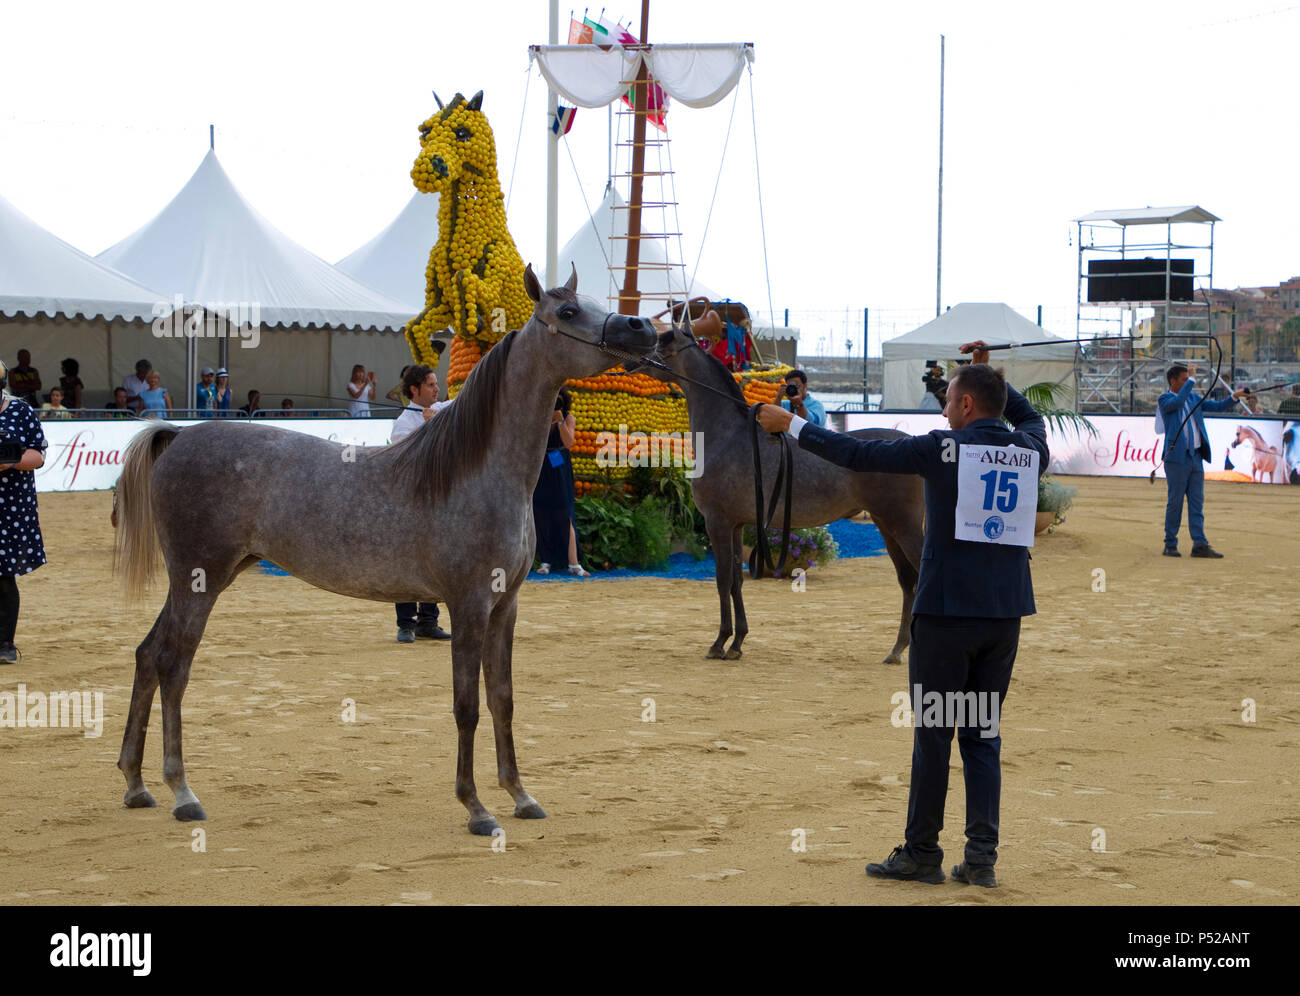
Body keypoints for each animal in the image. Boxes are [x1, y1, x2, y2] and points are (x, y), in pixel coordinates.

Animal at [639, 327, 925, 665]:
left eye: (660, 342)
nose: (632, 359)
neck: (727, 435)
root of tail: (909, 443)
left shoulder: (717, 522)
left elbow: (722, 580)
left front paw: (719, 643)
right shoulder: (736, 525)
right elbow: (735, 580)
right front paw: (737, 643)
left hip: (903, 524)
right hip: (886, 525)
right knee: (907, 580)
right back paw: (896, 650)